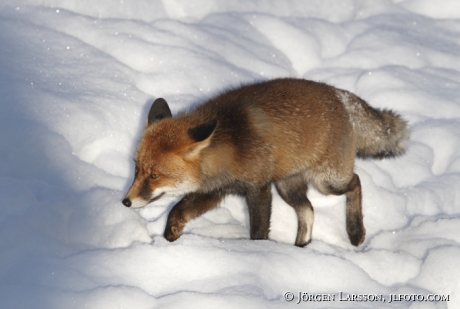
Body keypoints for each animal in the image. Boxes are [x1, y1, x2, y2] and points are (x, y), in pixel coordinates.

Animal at [123, 78, 410, 247]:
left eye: (155, 175)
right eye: (137, 169)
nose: (126, 201)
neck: (229, 148)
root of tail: (338, 93)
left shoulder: (258, 187)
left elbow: (259, 230)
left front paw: (259, 255)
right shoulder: (215, 191)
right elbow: (177, 210)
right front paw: (170, 236)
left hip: (327, 182)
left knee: (356, 183)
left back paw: (355, 231)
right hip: (287, 186)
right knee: (308, 210)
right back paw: (301, 248)